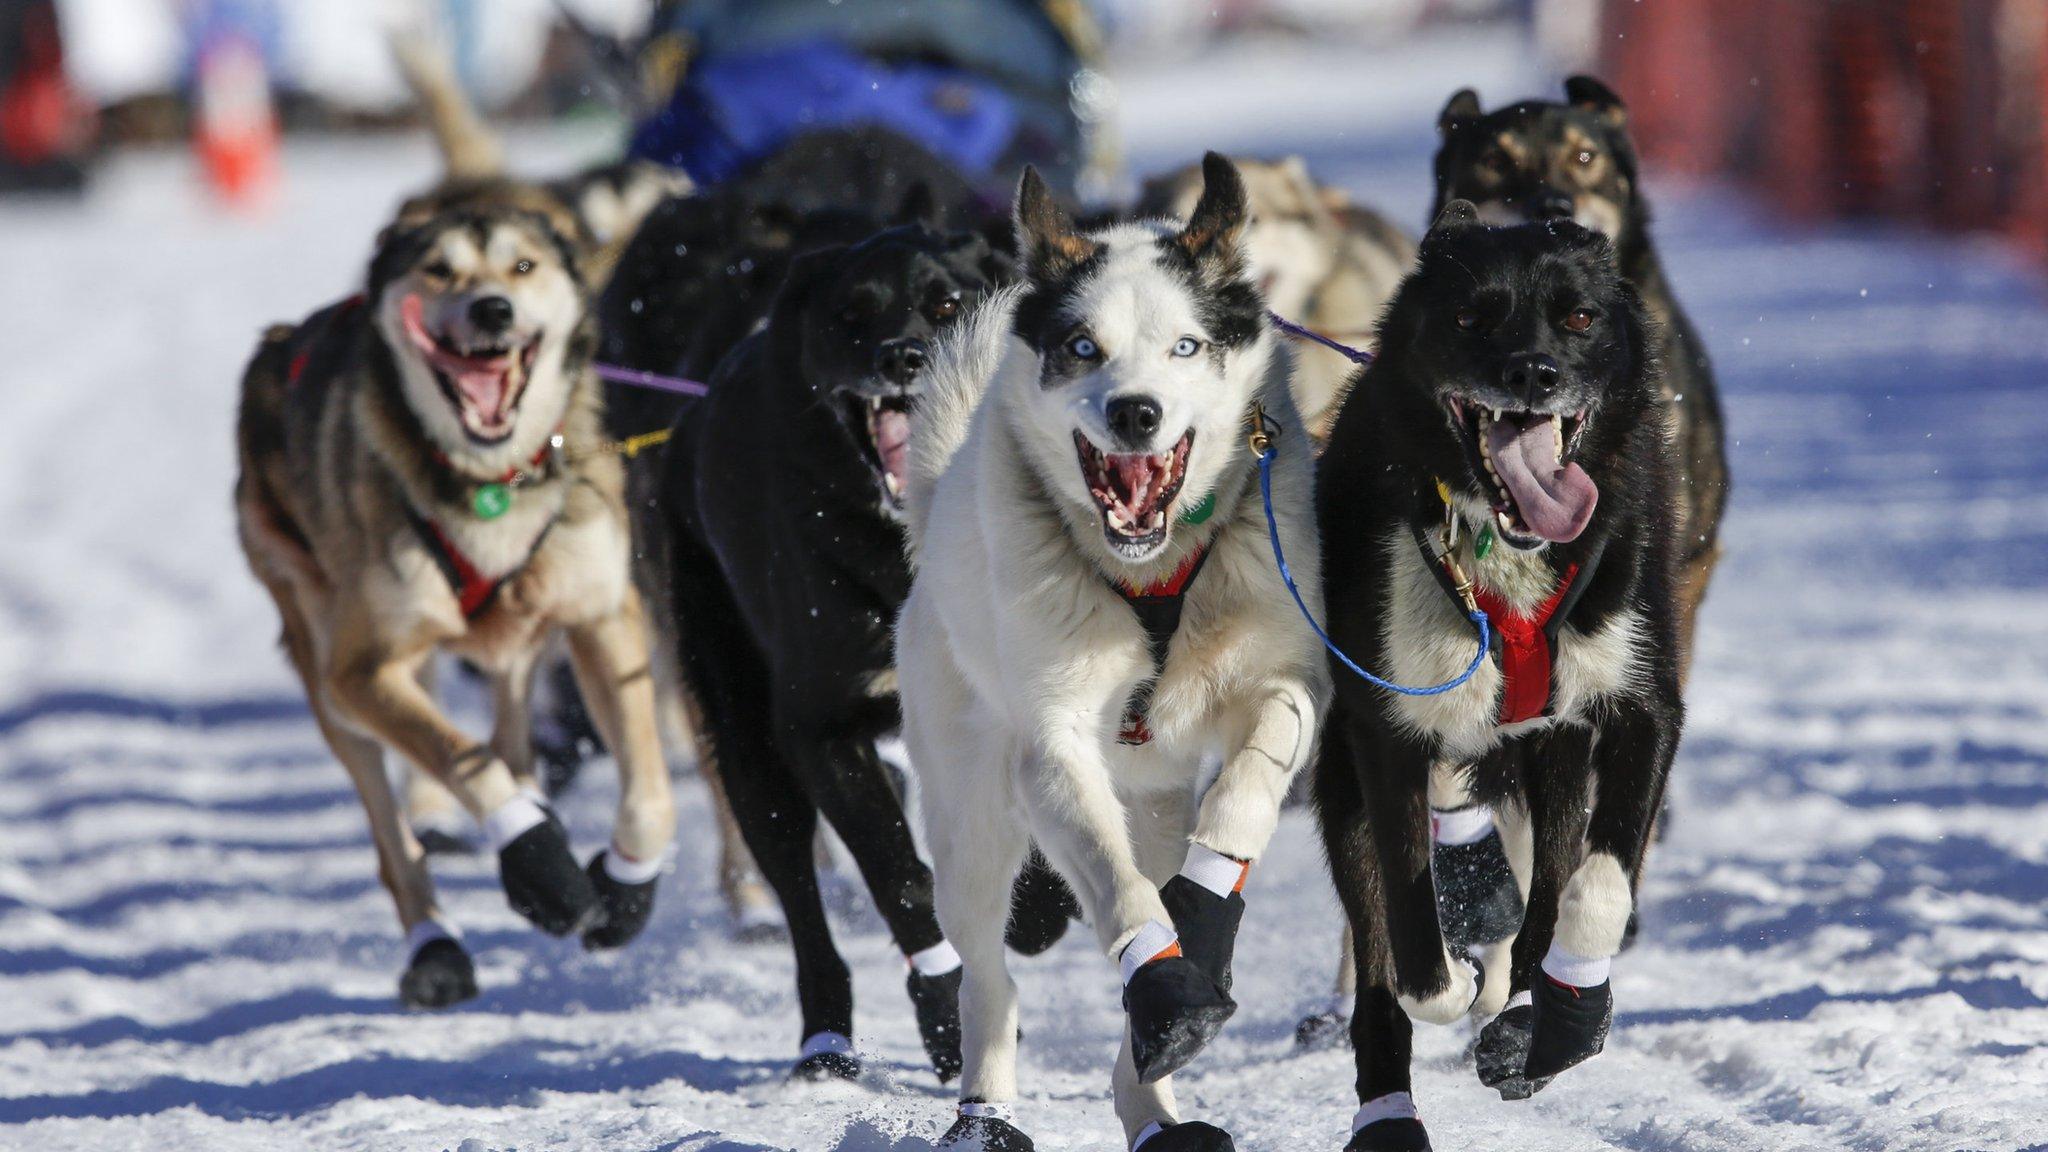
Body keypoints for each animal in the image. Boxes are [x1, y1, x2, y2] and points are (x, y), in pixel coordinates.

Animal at [234, 186, 675, 1004]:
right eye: (438, 271)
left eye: (523, 266)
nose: (491, 310)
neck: (489, 484)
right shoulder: (361, 671)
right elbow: (461, 755)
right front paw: (540, 862)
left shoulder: (603, 618)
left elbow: (650, 796)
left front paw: (623, 890)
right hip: (329, 677)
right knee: (396, 834)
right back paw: (436, 943)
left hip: (524, 628)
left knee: (512, 711)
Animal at [663, 219, 1073, 1082]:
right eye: (851, 314)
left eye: (947, 302)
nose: (903, 356)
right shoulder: (821, 729)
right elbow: (901, 878)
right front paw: (944, 1015)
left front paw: (1036, 911)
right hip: (748, 748)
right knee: (801, 902)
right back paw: (829, 1039)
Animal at [1310, 201, 1679, 1139]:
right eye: (1472, 317)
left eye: (1579, 316)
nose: (1534, 374)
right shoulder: (1388, 736)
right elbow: (1416, 961)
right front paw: (1465, 980)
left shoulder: (1643, 708)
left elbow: (1594, 887)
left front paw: (1556, 1025)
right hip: (1343, 778)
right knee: (1383, 967)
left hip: (1552, 758)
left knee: (1550, 888)